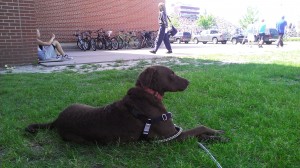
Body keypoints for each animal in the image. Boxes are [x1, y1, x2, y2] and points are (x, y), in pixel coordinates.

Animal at [25, 65, 224, 144]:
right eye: (172, 74)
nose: (189, 82)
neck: (148, 94)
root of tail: (57, 120)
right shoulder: (172, 137)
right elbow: (199, 127)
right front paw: (217, 134)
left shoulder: (175, 133)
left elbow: (198, 133)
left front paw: (214, 137)